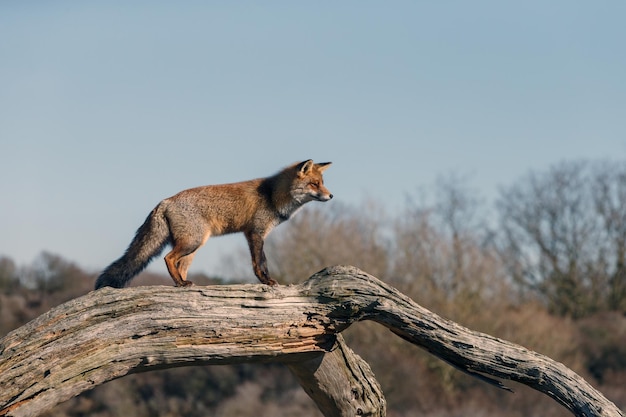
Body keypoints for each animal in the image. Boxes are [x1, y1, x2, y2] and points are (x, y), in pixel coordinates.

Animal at [94, 159, 332, 290]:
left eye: (322, 183)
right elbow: (260, 262)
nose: (330, 196)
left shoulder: (251, 233)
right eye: (314, 184)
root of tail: (165, 201)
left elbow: (259, 261)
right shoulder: (256, 232)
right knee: (168, 258)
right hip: (193, 242)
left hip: (192, 247)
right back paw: (181, 284)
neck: (272, 195)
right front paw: (267, 281)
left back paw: (181, 284)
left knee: (179, 265)